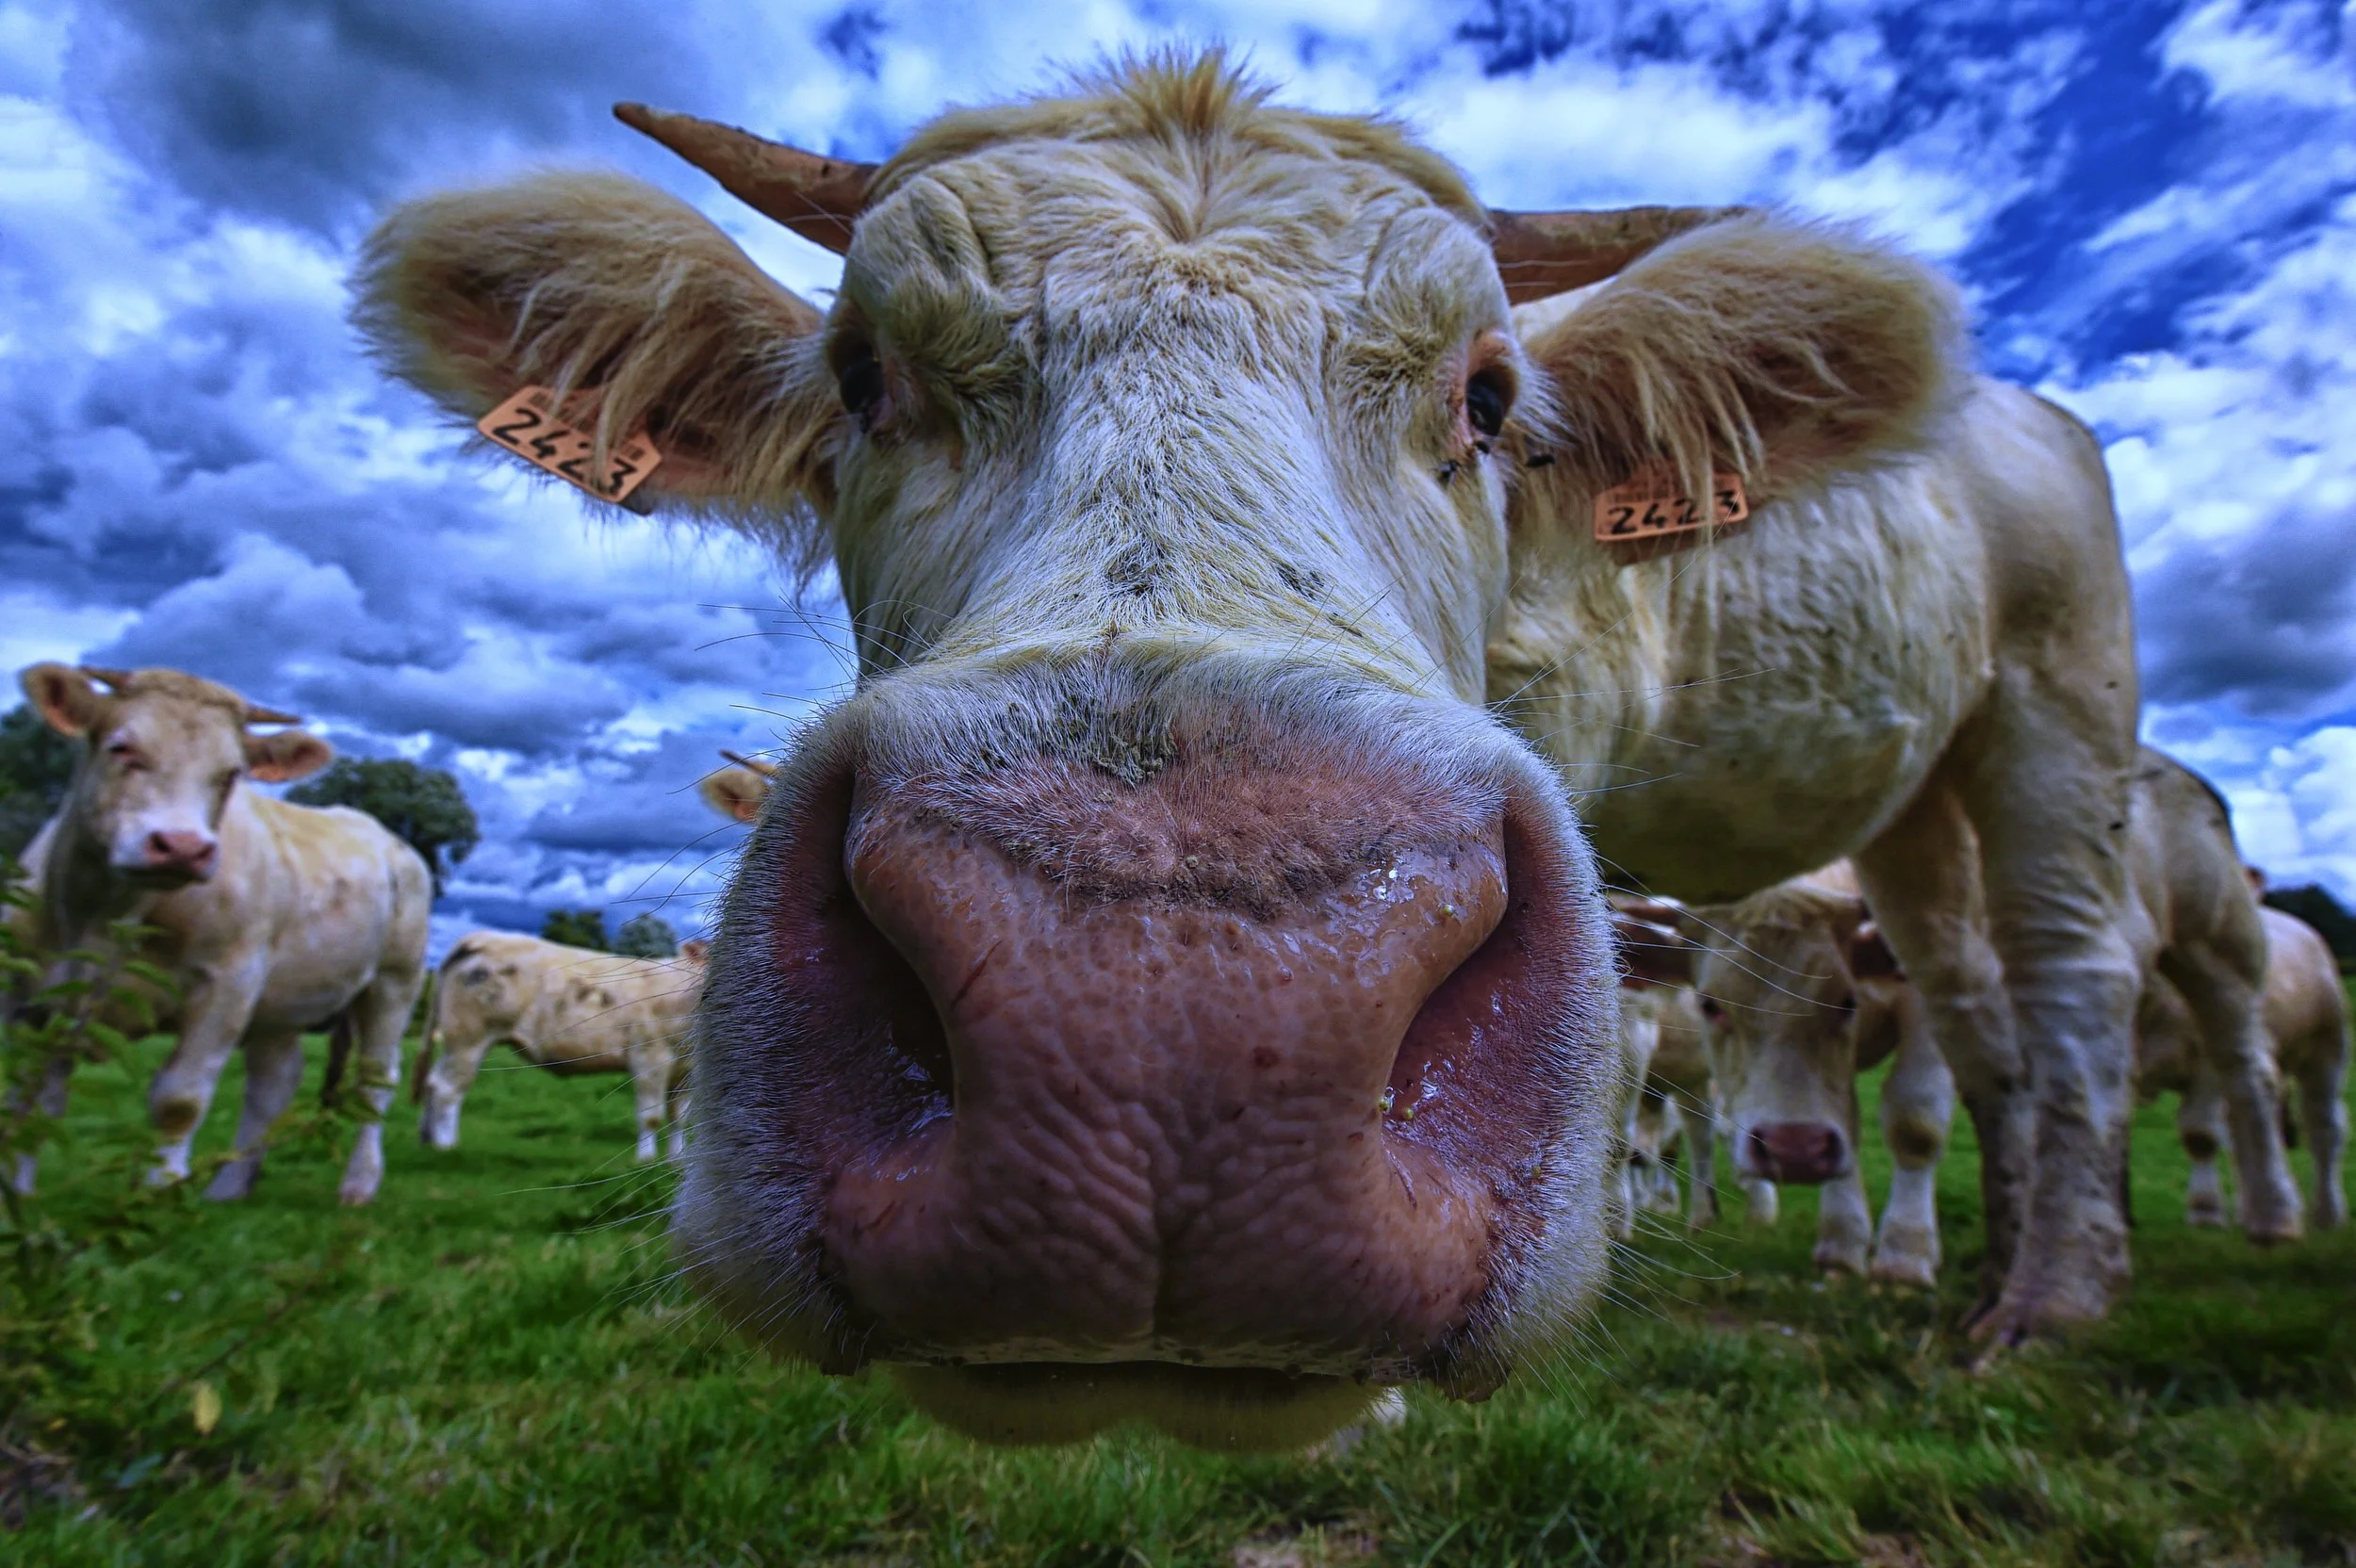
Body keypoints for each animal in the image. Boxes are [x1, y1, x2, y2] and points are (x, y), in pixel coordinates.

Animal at [6, 665, 430, 1205]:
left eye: (231, 773)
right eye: (121, 747)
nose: (182, 847)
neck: (102, 916)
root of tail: (393, 842)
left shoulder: (229, 982)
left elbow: (179, 1100)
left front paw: (160, 1195)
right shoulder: (30, 997)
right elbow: (32, 1099)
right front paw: (18, 1197)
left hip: (395, 980)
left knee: (374, 1080)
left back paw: (359, 1182)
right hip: (284, 1002)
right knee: (274, 1084)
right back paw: (230, 1187)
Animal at [413, 930, 708, 1162]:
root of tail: (480, 938)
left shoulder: (686, 1070)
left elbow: (678, 1117)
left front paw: (676, 1161)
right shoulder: (650, 1057)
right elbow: (651, 1116)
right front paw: (644, 1161)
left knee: (433, 1082)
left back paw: (427, 1140)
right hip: (468, 1036)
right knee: (447, 1088)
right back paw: (446, 1146)